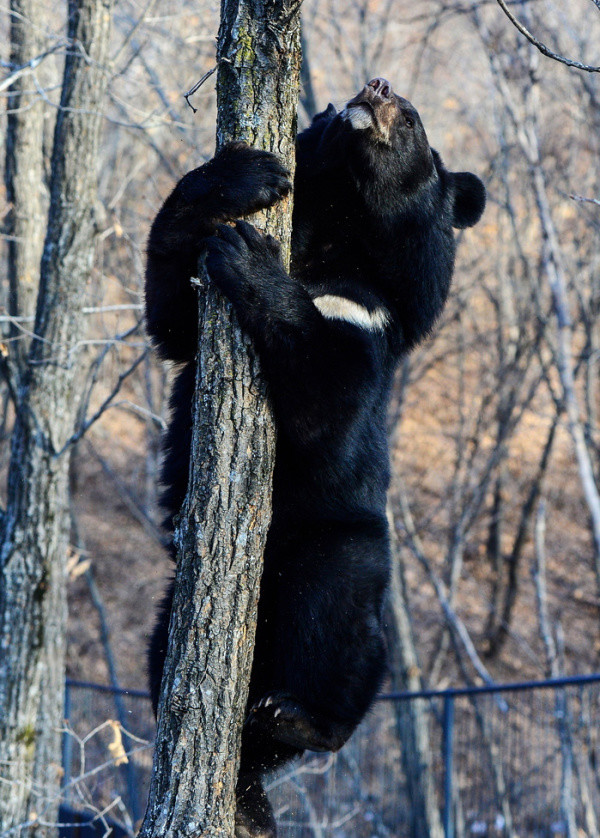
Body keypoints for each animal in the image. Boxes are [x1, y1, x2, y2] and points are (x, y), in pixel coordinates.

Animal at [146, 75, 488, 836]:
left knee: (338, 624)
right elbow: (171, 308)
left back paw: (298, 721)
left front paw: (249, 260)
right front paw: (246, 176)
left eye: (411, 120)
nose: (376, 86)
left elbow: (324, 399)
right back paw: (241, 774)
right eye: (343, 102)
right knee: (162, 660)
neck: (336, 231)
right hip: (176, 597)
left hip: (335, 544)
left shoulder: (367, 316)